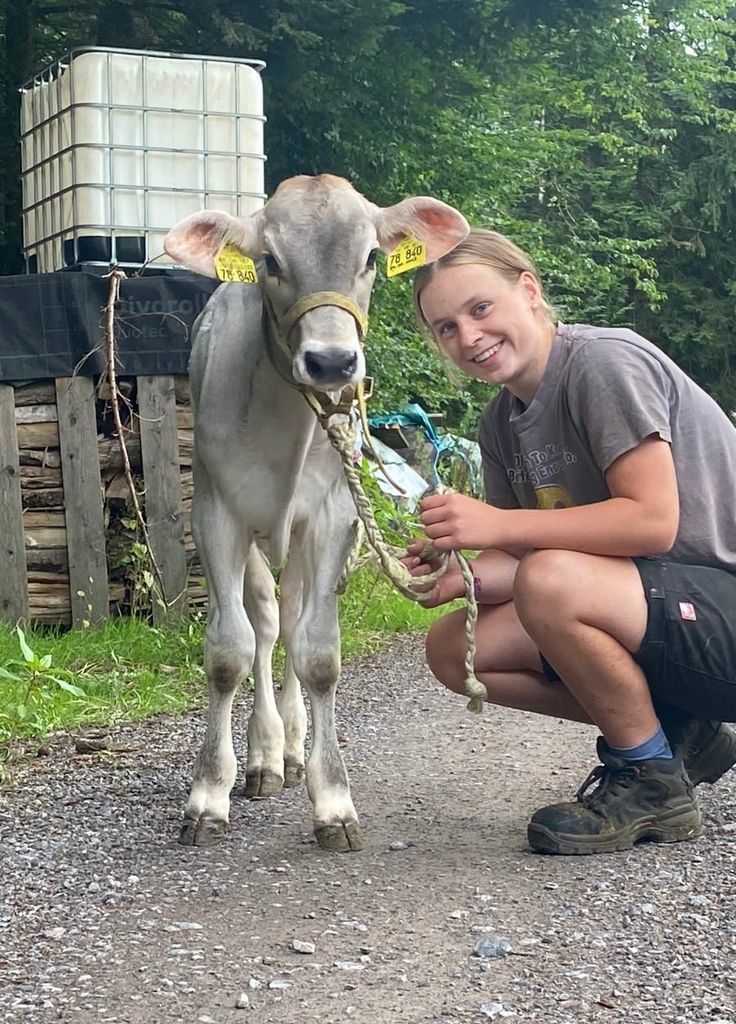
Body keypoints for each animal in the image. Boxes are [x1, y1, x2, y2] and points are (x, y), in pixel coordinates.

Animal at [164, 174, 468, 852]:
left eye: (373, 257)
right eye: (270, 261)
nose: (333, 363)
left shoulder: (334, 518)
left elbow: (321, 655)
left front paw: (333, 801)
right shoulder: (215, 513)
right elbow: (228, 651)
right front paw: (207, 795)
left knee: (295, 615)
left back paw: (293, 748)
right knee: (266, 621)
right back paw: (264, 756)